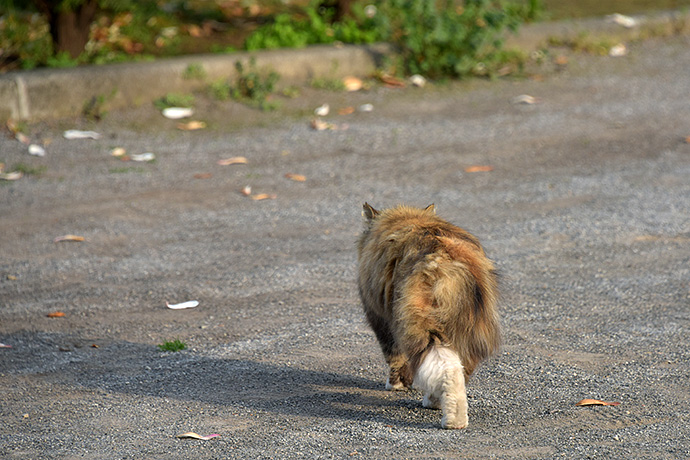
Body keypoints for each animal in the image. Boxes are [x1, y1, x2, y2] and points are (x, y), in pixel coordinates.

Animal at [354, 203, 500, 430]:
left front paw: (396, 385)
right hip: (467, 327)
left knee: (446, 367)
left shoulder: (381, 319)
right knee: (461, 367)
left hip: (418, 322)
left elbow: (394, 356)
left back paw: (450, 418)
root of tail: (452, 257)